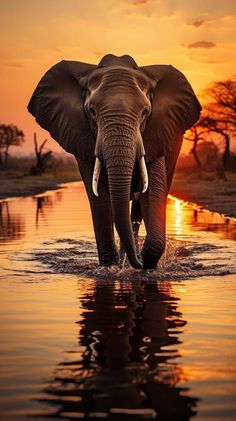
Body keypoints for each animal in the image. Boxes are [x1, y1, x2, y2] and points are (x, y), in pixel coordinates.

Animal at [27, 54, 201, 270]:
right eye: (91, 112)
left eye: (145, 112)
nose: (139, 263)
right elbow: (100, 197)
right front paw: (111, 268)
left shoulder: (156, 134)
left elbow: (152, 192)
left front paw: (146, 266)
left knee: (136, 212)